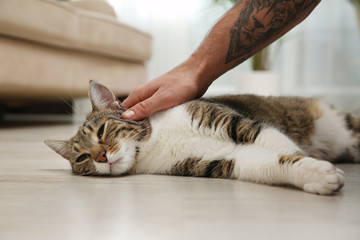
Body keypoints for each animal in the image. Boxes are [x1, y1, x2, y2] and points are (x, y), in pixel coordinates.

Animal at [45, 80, 360, 195]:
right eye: (82, 157)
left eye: (101, 131)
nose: (100, 156)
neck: (154, 142)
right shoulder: (221, 162)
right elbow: (269, 162)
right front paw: (315, 176)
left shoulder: (237, 123)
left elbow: (283, 147)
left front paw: (315, 167)